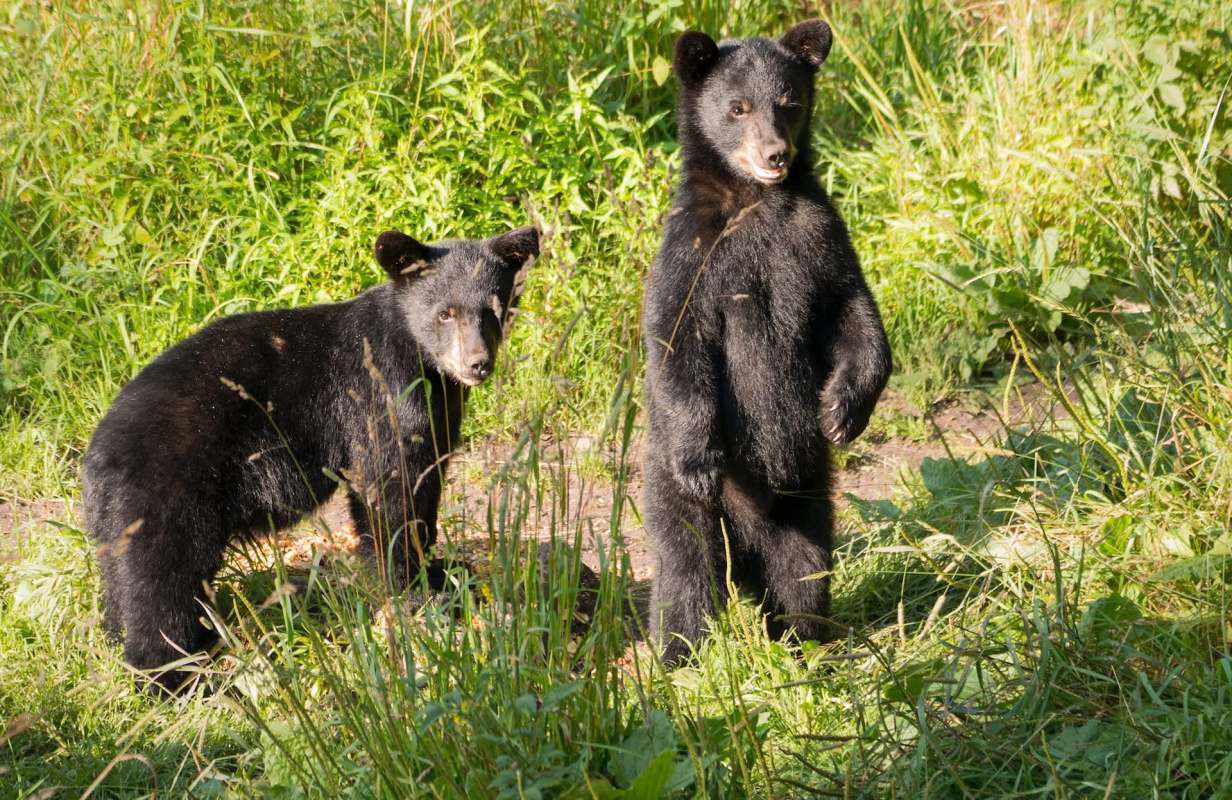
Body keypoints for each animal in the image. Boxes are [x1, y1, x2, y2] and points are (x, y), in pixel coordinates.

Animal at [82, 224, 539, 690]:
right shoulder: (379, 394)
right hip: (167, 491)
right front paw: (415, 591)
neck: (423, 362)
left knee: (125, 581)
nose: (477, 364)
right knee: (158, 582)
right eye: (445, 313)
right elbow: (389, 488)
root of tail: (96, 458)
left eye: (494, 308)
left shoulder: (438, 411)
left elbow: (424, 485)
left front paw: (443, 570)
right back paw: (172, 676)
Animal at [640, 20, 891, 665]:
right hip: (673, 494)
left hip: (806, 496)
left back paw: (806, 643)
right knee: (686, 572)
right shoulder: (695, 256)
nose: (776, 154)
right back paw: (680, 659)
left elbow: (855, 313)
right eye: (738, 107)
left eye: (788, 101)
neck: (756, 202)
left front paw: (840, 412)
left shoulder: (817, 238)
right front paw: (700, 459)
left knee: (802, 567)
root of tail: (747, 532)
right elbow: (677, 341)